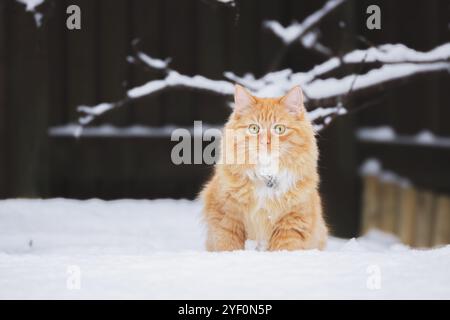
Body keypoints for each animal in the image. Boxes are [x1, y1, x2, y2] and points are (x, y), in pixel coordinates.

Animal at [200, 85, 326, 252]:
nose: (265, 142)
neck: (266, 176)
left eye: (279, 129)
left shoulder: (292, 222)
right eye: (254, 128)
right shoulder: (226, 216)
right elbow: (228, 246)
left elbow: (284, 248)